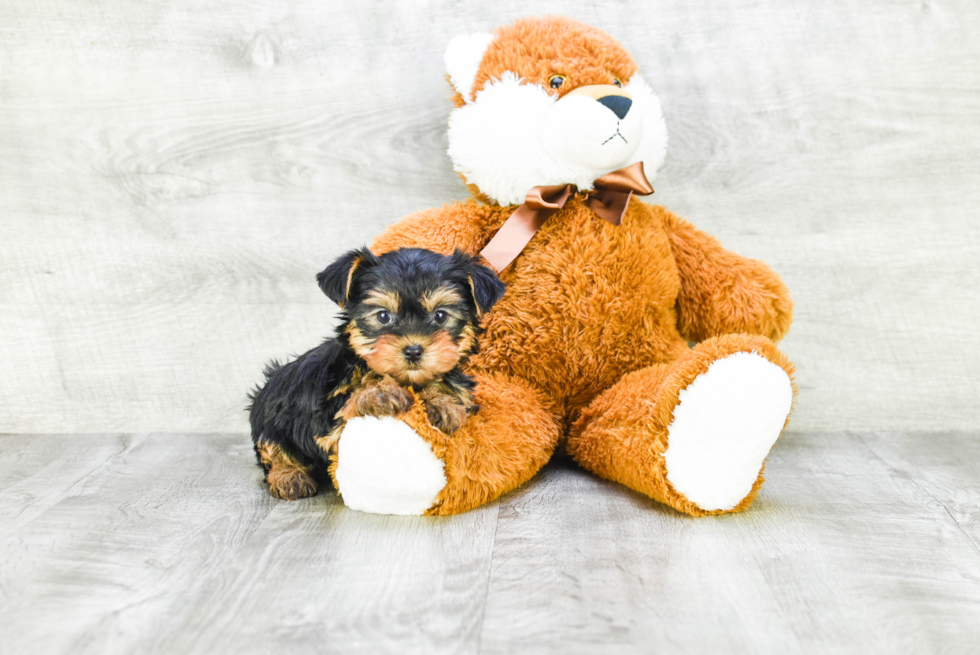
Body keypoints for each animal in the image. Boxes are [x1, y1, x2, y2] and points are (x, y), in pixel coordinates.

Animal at [247, 249, 506, 500]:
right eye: (383, 316)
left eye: (440, 316)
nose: (413, 350)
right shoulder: (326, 417)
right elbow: (350, 401)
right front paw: (379, 392)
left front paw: (442, 402)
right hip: (269, 419)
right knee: (272, 450)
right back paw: (289, 477)